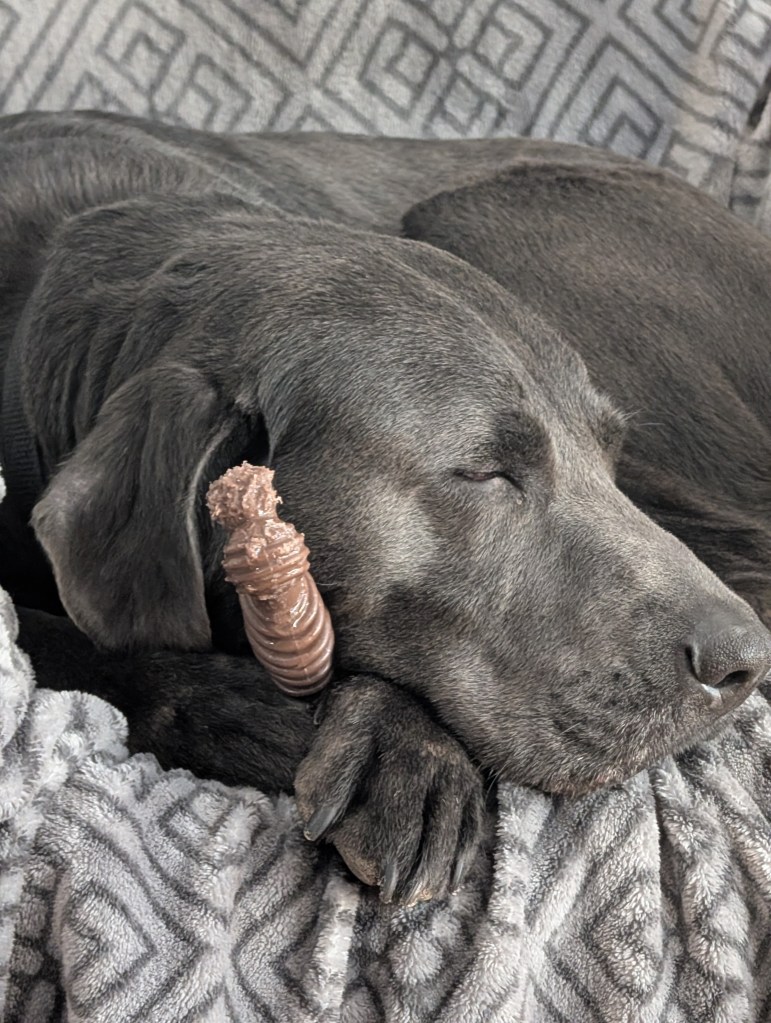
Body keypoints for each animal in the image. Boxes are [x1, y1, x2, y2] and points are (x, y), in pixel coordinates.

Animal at [2, 110, 770, 906]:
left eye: (608, 451)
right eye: (483, 472)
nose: (742, 664)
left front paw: (402, 753)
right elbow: (58, 639)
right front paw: (263, 714)